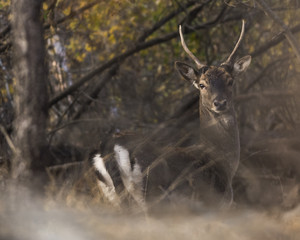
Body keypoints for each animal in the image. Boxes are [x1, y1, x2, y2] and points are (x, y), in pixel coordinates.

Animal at [91, 21, 251, 212]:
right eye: (202, 84)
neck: (222, 161)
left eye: (230, 81)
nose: (219, 103)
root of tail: (110, 146)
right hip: (150, 192)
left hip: (110, 195)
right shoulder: (213, 204)